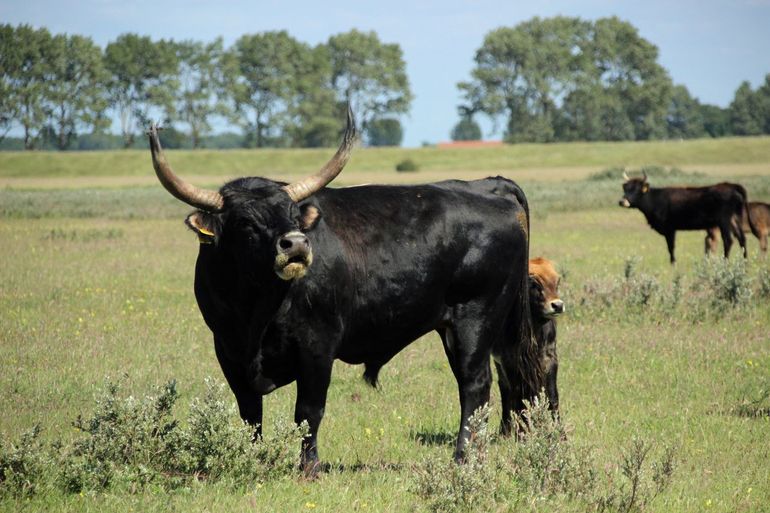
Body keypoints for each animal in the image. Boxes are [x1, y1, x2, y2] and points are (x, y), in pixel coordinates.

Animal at [147, 114, 536, 470]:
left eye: (292, 214)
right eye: (244, 221)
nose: (296, 243)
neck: (256, 310)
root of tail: (489, 186)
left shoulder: (317, 346)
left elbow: (308, 411)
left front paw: (309, 468)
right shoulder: (228, 351)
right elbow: (250, 414)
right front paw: (253, 461)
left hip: (476, 319)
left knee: (475, 385)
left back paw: (463, 458)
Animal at [616, 171, 752, 262]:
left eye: (636, 189)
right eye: (626, 189)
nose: (622, 201)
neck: (655, 199)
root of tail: (732, 186)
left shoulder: (670, 228)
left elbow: (671, 247)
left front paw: (673, 264)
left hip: (724, 221)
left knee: (728, 240)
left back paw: (725, 261)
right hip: (734, 219)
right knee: (742, 238)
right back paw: (745, 262)